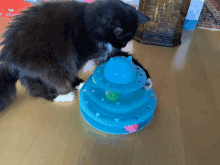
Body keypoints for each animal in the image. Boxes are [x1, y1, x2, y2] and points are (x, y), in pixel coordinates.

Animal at [0, 0, 151, 111]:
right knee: (42, 90)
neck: (88, 22)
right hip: (49, 67)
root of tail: (7, 57)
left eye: (127, 40)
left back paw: (78, 83)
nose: (123, 45)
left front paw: (146, 79)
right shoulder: (82, 53)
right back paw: (66, 95)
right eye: (122, 39)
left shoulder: (106, 52)